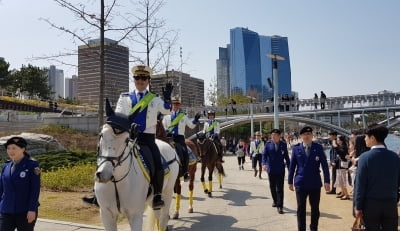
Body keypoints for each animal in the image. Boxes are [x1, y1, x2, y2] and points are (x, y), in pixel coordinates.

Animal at [94, 101, 179, 231]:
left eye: (126, 140)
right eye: (101, 135)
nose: (104, 174)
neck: (116, 182)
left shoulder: (135, 215)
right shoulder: (106, 214)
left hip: (167, 192)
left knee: (164, 218)